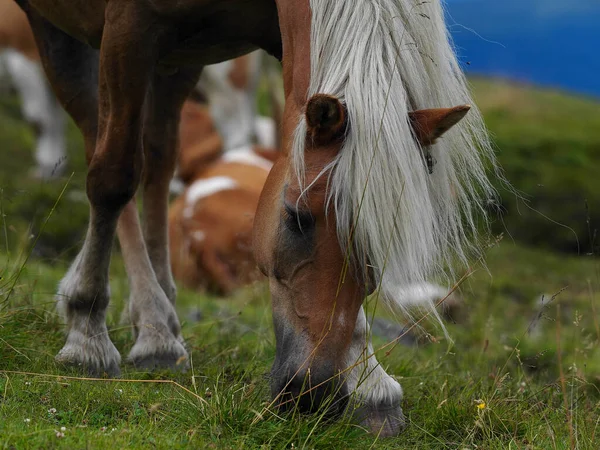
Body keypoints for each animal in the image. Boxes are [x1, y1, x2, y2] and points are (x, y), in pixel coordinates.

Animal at [17, 0, 496, 436]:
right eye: (296, 217)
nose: (313, 396)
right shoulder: (127, 27)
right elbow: (112, 177)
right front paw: (87, 333)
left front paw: (371, 386)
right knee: (104, 145)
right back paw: (141, 326)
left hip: (177, 58)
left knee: (157, 158)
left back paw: (159, 318)